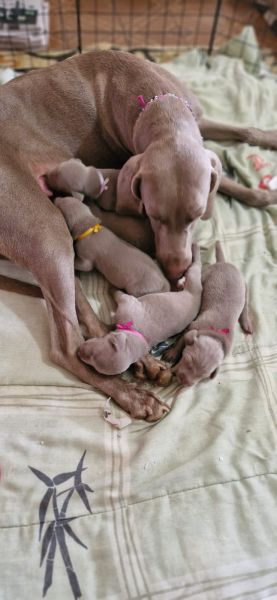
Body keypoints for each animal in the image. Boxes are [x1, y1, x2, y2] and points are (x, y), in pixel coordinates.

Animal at [77, 244, 201, 376]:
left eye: (93, 358)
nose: (79, 351)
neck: (134, 331)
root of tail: (195, 298)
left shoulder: (128, 305)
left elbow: (120, 295)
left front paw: (112, 288)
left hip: (193, 283)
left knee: (195, 269)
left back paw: (196, 249)